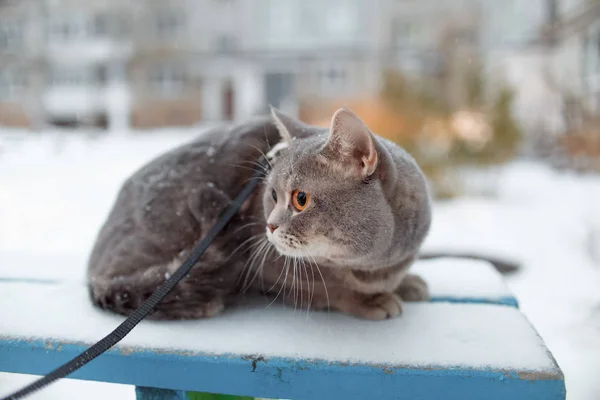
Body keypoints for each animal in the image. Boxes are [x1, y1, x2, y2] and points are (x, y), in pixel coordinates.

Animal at [86, 108, 510, 320]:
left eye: (300, 199)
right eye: (271, 195)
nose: (270, 225)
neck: (371, 264)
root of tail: (94, 272)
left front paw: (405, 282)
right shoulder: (265, 267)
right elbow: (326, 289)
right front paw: (371, 301)